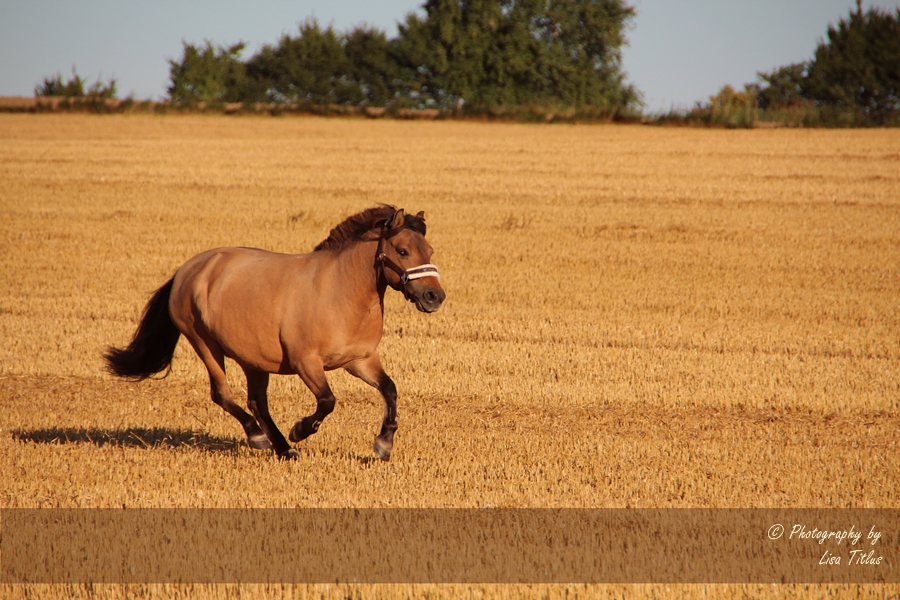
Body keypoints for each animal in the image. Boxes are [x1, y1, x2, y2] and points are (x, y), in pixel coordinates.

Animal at [103, 206, 444, 460]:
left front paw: (383, 444)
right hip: (204, 344)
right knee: (223, 394)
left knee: (257, 402)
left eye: (429, 250)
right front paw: (300, 430)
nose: (434, 297)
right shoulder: (306, 362)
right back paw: (263, 438)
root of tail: (187, 270)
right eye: (402, 250)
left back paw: (281, 448)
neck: (340, 291)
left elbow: (390, 390)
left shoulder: (360, 360)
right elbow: (328, 401)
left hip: (252, 359)